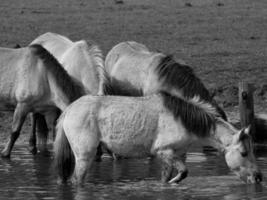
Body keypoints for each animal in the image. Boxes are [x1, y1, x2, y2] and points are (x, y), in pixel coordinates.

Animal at [55, 91, 264, 185]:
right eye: (244, 153)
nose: (258, 177)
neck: (182, 119)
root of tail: (69, 109)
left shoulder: (174, 155)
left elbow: (169, 176)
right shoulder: (163, 152)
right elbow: (183, 172)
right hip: (85, 156)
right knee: (77, 180)